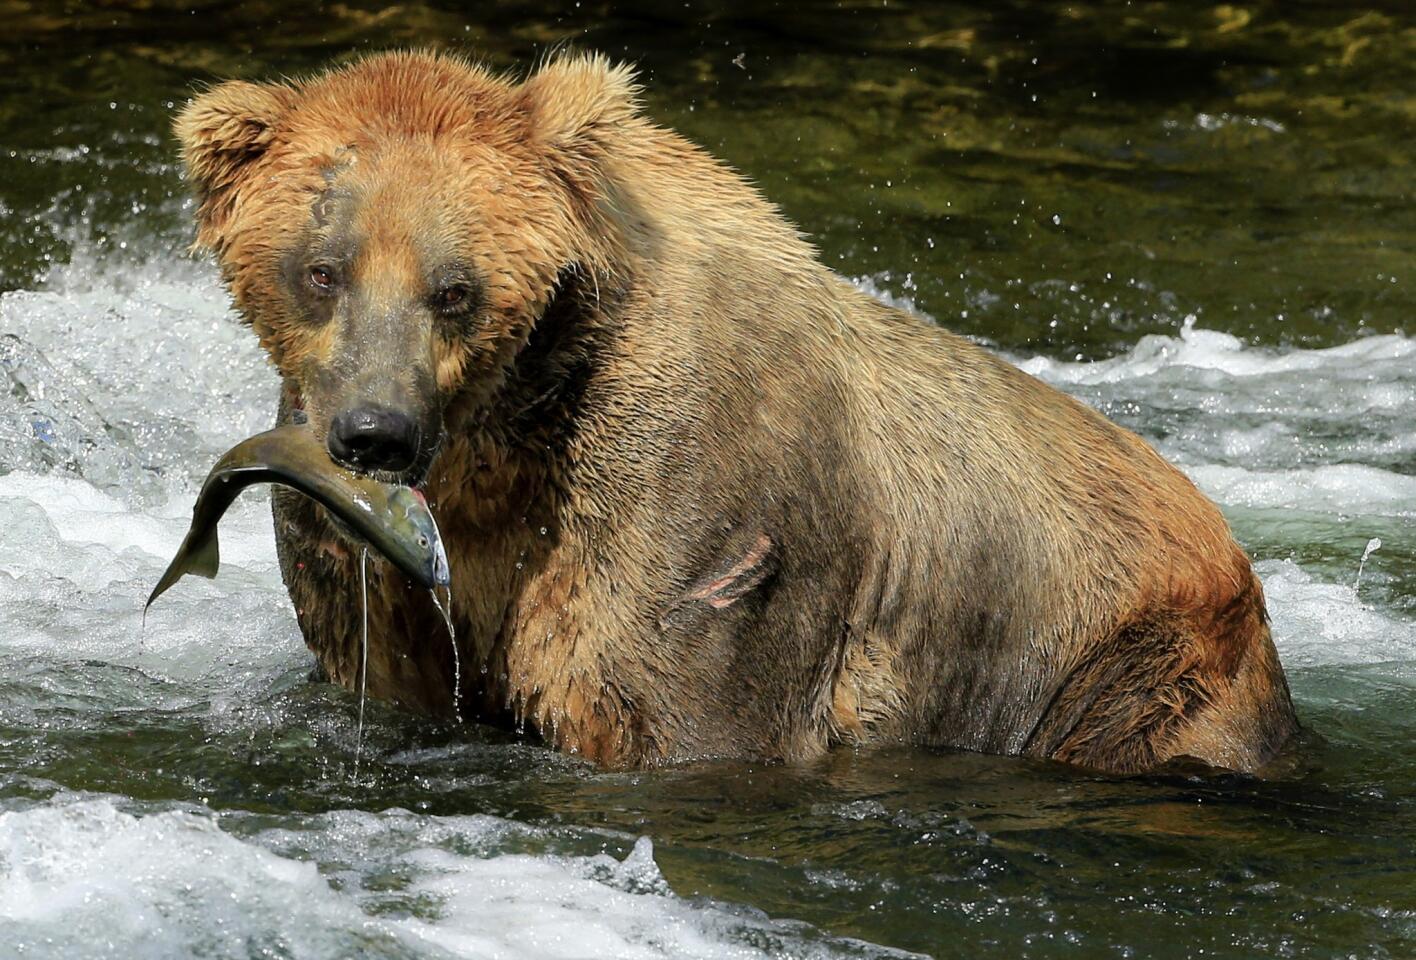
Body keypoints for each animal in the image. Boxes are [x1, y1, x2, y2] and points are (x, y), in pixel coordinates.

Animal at [174, 50, 1297, 775]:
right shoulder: (366, 545)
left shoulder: (690, 488)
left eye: (454, 288)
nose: (376, 432)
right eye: (323, 270)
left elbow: (671, 707)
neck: (505, 434)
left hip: (1127, 661)